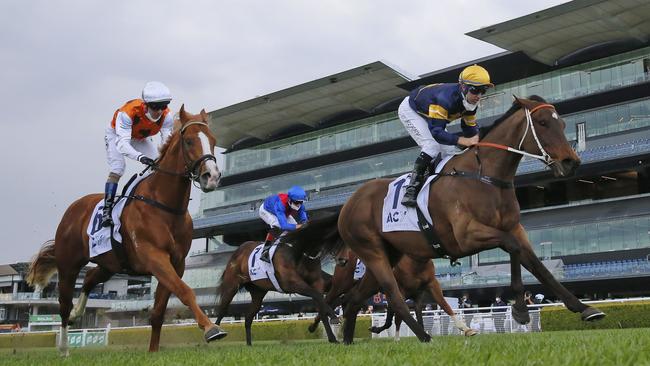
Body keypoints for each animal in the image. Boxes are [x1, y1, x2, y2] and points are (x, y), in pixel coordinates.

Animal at [26, 106, 227, 354]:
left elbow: (158, 312)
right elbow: (185, 291)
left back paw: (76, 314)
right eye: (189, 141)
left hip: (110, 263)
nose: (212, 176)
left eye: (213, 140)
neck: (165, 206)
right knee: (63, 303)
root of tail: (73, 209)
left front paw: (153, 351)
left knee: (90, 278)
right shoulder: (154, 257)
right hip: (68, 265)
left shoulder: (176, 263)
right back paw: (64, 348)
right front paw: (211, 328)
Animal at [215, 217, 342, 346]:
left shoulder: (317, 283)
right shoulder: (292, 284)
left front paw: (332, 337)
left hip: (258, 292)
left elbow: (321, 304)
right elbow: (318, 296)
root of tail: (238, 251)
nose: (342, 261)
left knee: (249, 317)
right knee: (222, 310)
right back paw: (214, 334)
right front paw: (334, 317)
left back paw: (249, 344)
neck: (299, 251)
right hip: (231, 286)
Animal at [306, 249, 474, 338]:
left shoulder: (426, 289)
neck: (414, 262)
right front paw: (397, 338)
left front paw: (466, 329)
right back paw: (316, 326)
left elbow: (443, 306)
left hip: (359, 287)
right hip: (342, 284)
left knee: (343, 301)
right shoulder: (398, 291)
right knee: (328, 300)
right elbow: (397, 317)